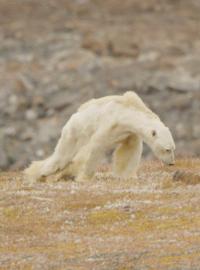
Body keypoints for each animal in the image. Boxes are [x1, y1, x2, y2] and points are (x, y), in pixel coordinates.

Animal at [24, 92, 175, 182]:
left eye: (173, 149)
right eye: (167, 149)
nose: (172, 163)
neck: (127, 112)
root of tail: (74, 115)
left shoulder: (129, 133)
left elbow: (129, 151)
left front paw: (127, 175)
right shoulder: (110, 124)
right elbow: (96, 147)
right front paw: (84, 177)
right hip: (75, 131)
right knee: (63, 155)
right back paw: (41, 173)